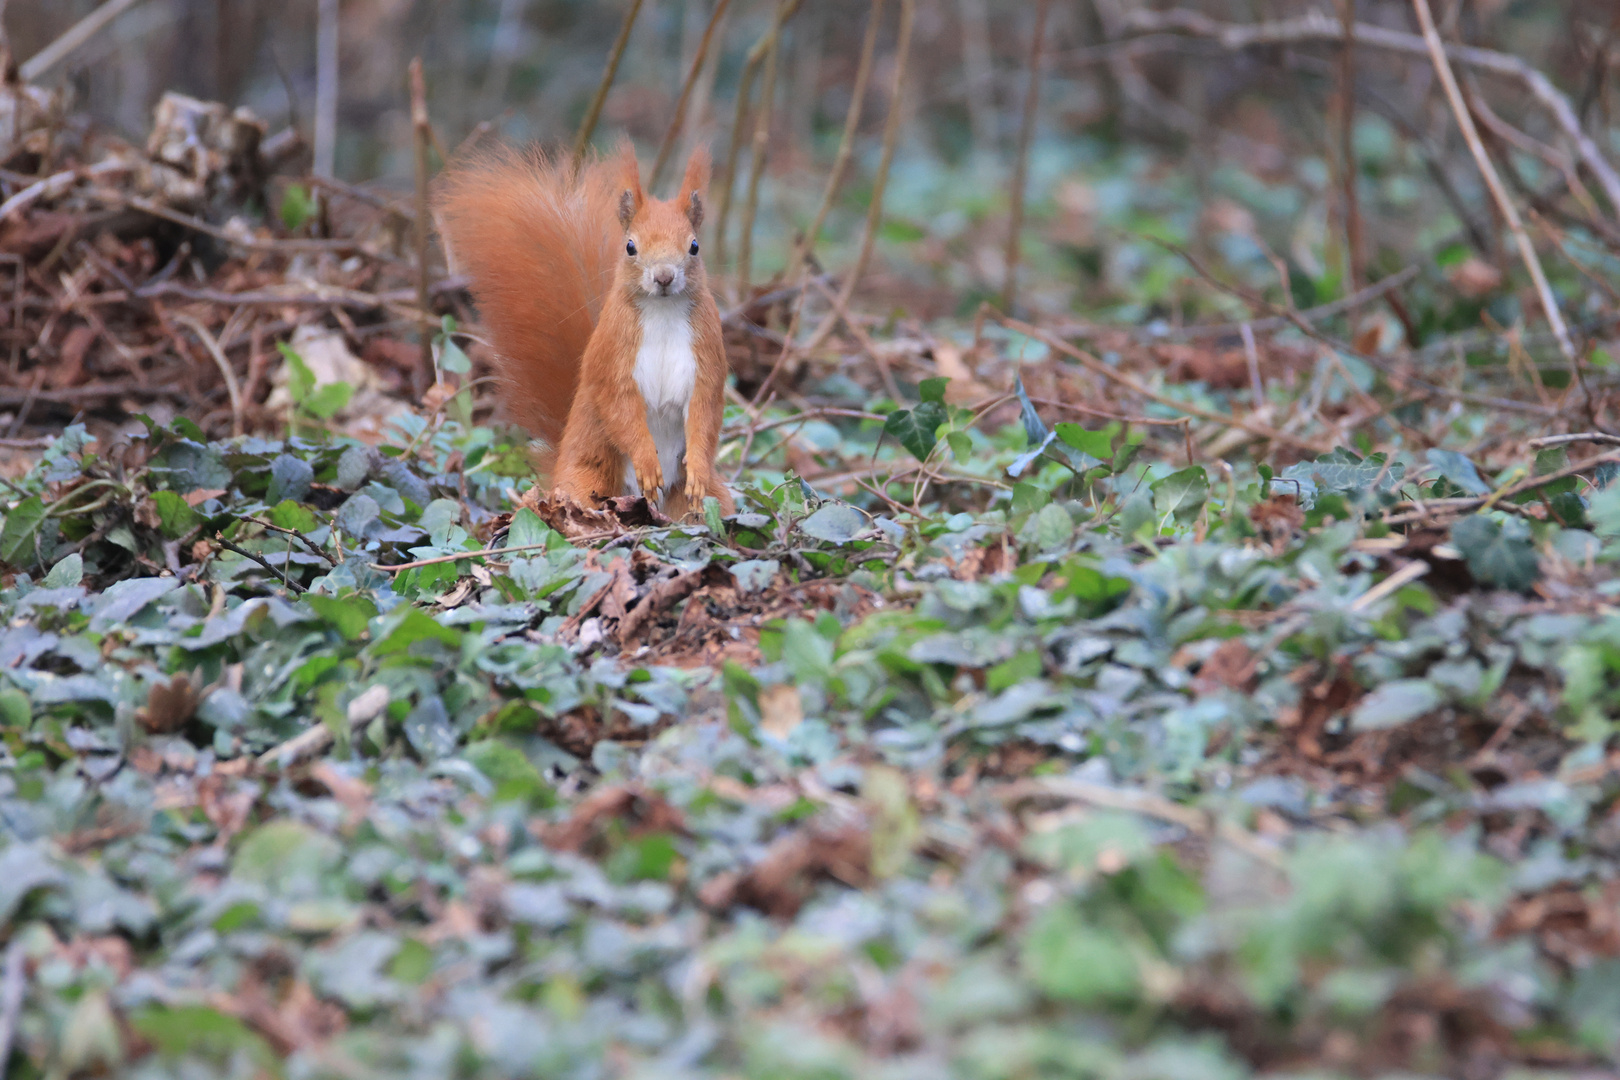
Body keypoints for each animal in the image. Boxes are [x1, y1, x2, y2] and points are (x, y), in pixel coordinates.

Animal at [430, 141, 735, 521]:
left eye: (694, 246)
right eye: (630, 246)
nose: (664, 276)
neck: (663, 312)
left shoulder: (707, 349)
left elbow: (705, 410)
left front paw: (697, 468)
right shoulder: (613, 349)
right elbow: (618, 403)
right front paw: (647, 462)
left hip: (709, 502)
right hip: (588, 479)